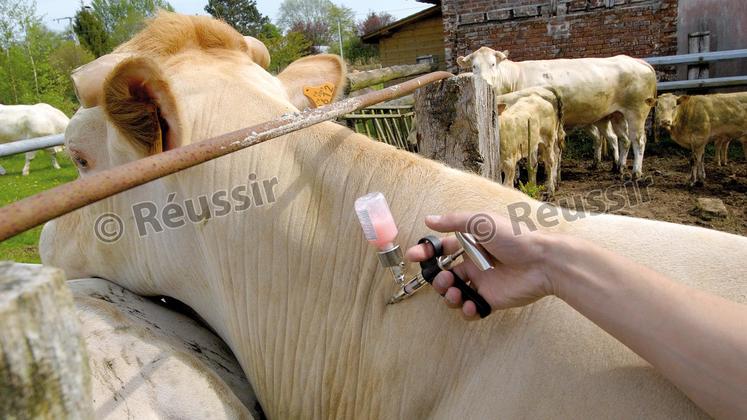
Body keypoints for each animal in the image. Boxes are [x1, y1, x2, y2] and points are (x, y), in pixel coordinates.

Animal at [458, 47, 656, 179]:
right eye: (474, 66)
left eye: (493, 64)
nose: (484, 83)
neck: (515, 78)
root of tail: (638, 61)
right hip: (616, 115)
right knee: (622, 139)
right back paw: (618, 167)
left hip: (636, 112)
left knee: (638, 140)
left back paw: (636, 172)